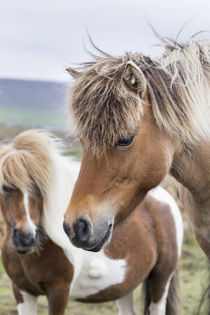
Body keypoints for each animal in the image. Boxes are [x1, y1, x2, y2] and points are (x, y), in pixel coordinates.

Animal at [0, 130, 182, 315]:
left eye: (39, 188)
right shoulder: (22, 292)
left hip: (161, 279)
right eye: (5, 187)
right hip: (125, 284)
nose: (26, 238)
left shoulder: (58, 292)